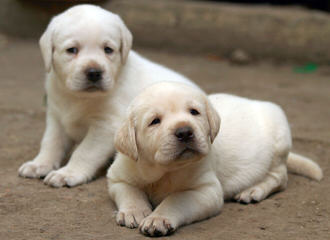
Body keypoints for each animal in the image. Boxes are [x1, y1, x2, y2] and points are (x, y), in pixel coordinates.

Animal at [18, 4, 196, 188]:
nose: (94, 72)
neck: (79, 97)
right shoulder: (56, 117)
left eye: (108, 50)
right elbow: (51, 142)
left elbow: (84, 151)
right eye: (72, 50)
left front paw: (68, 173)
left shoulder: (106, 127)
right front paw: (40, 164)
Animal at [107, 81, 322, 235]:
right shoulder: (117, 176)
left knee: (279, 178)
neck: (164, 170)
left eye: (194, 112)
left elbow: (176, 199)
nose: (184, 132)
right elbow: (129, 191)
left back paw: (253, 190)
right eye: (154, 121)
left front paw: (158, 218)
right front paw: (134, 211)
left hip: (279, 140)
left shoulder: (206, 191)